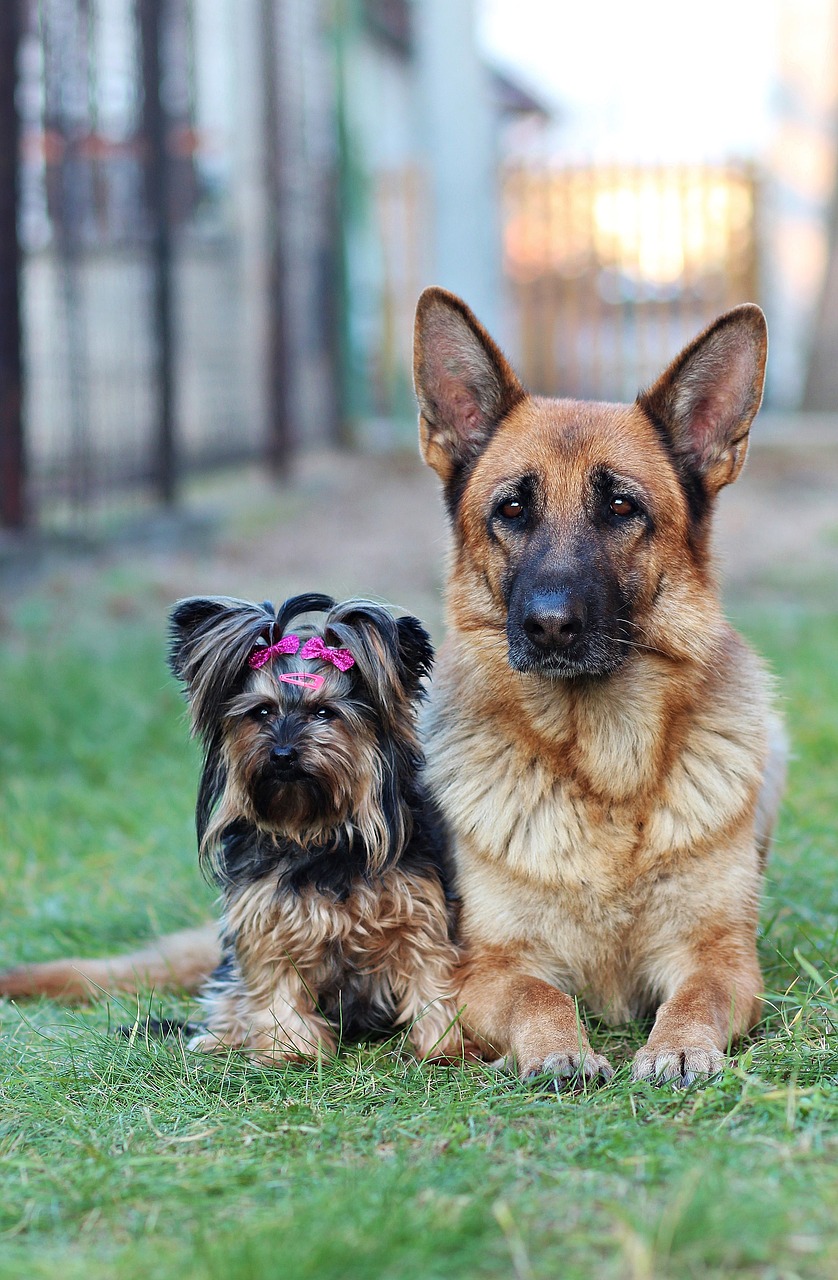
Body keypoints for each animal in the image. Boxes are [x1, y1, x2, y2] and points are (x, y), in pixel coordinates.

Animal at [0, 593, 465, 1064]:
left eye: (324, 713)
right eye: (261, 711)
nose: (282, 753)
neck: (315, 833)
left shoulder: (418, 913)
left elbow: (429, 978)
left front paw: (442, 1049)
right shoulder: (266, 923)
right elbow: (276, 986)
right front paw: (289, 1053)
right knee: (228, 1001)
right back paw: (219, 1039)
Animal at [411, 288, 788, 1080]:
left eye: (621, 508)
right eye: (511, 510)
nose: (550, 626)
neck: (605, 766)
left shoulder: (722, 955)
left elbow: (698, 995)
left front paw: (678, 1048)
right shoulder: (487, 968)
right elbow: (540, 997)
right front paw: (560, 1051)